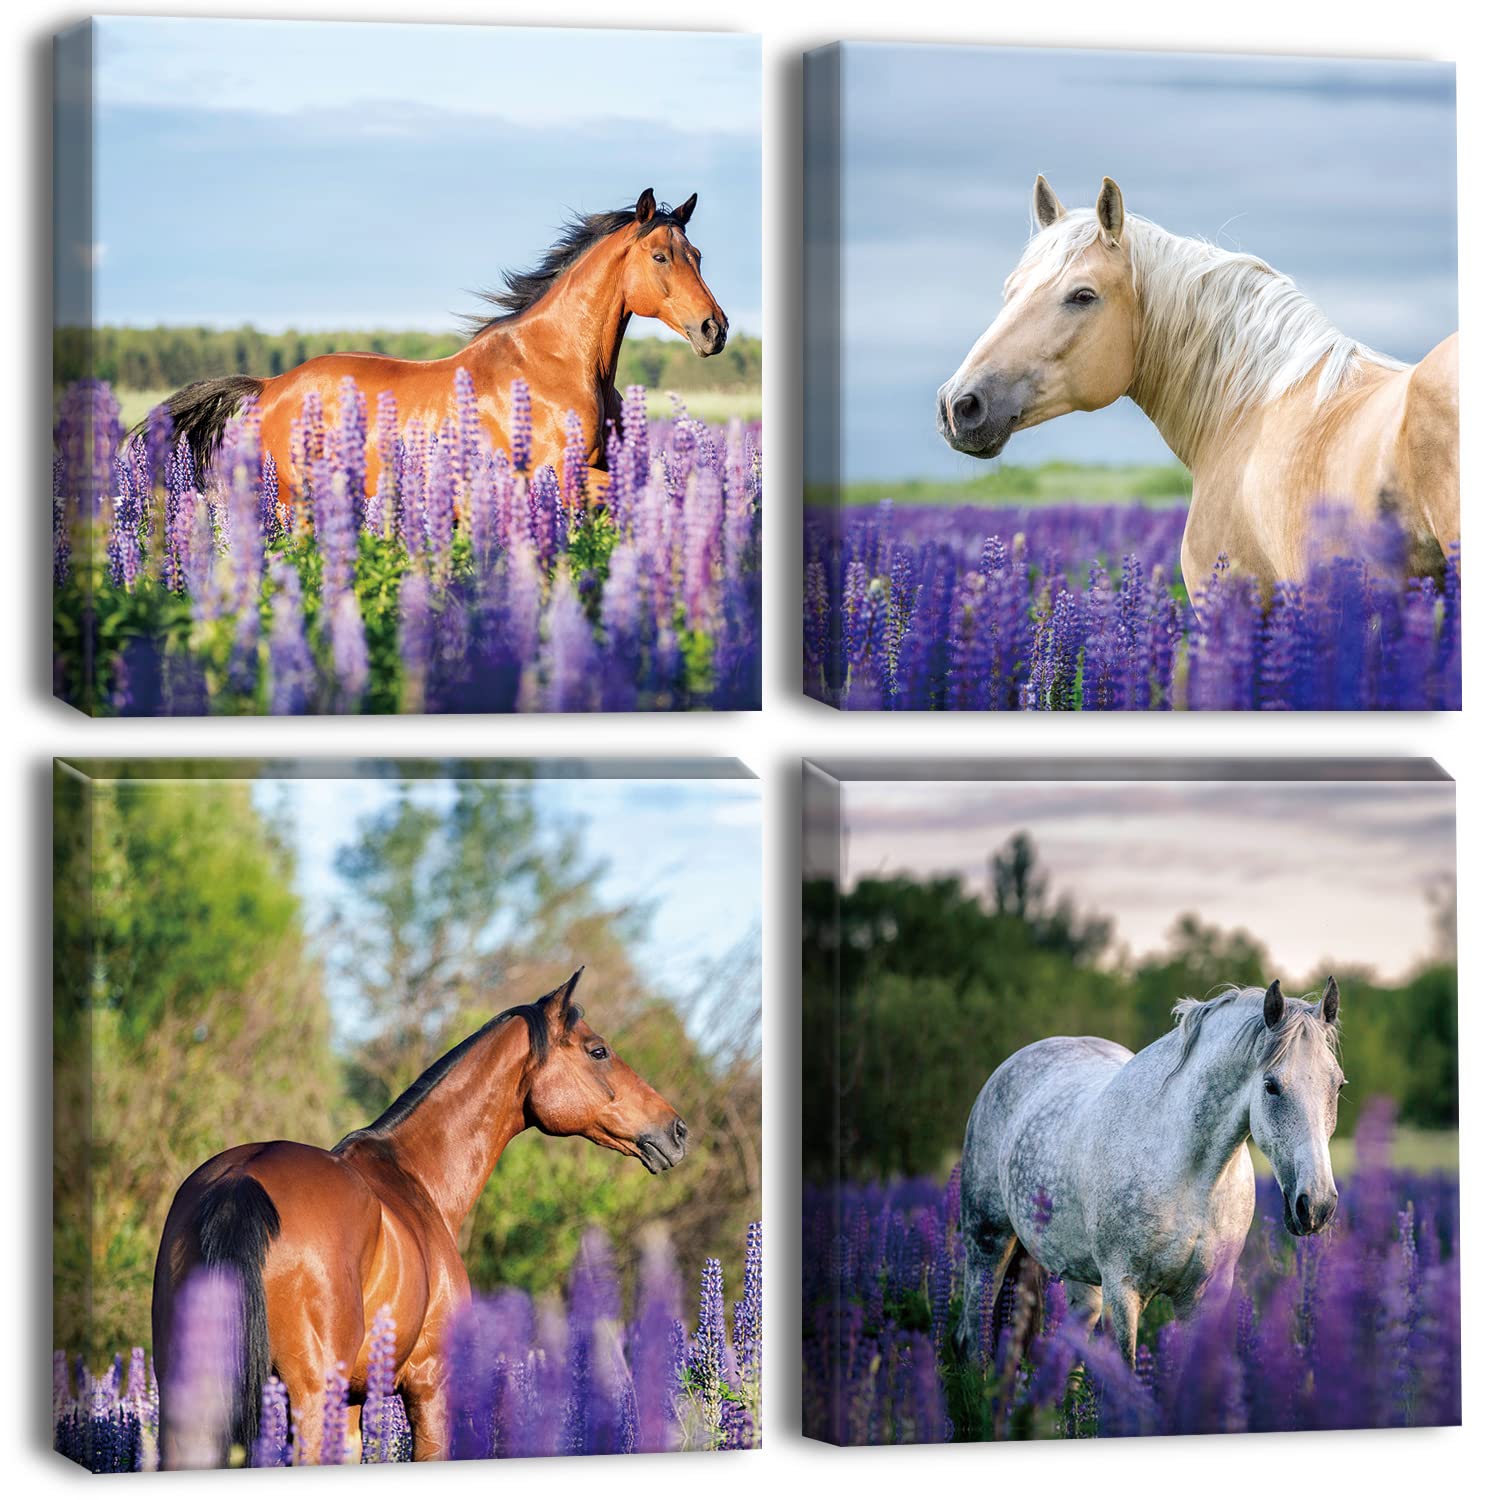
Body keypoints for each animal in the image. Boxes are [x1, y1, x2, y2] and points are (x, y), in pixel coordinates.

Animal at [150, 969, 689, 1466]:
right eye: (598, 1051)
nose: (677, 1130)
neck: (415, 1177)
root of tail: (240, 1180)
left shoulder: (355, 1402)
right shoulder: (429, 1385)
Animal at [155, 188, 727, 506]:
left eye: (697, 254)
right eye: (659, 256)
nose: (714, 329)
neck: (559, 365)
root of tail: (271, 385)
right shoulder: (560, 477)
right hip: (292, 503)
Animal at [956, 978, 1343, 1369]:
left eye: (1338, 1085)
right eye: (1271, 1085)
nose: (1317, 1205)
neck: (1191, 1177)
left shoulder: (1203, 1296)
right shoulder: (1123, 1290)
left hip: (1081, 1280)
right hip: (987, 1244)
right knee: (976, 1328)